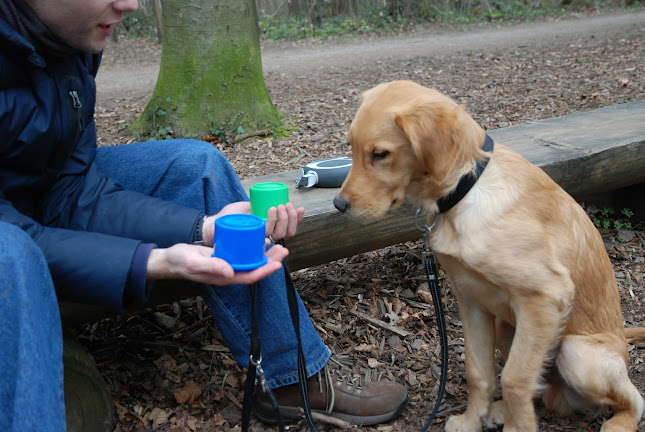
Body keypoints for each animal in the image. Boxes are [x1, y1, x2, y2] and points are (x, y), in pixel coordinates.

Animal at [332, 79, 644, 430]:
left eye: (380, 154)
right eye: (351, 148)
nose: (339, 205)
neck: (465, 189)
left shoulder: (546, 296)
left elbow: (515, 379)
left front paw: (518, 428)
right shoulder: (472, 299)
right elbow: (478, 371)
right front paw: (471, 420)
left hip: (576, 352)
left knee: (632, 399)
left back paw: (619, 422)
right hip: (510, 330)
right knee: (541, 388)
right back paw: (501, 410)